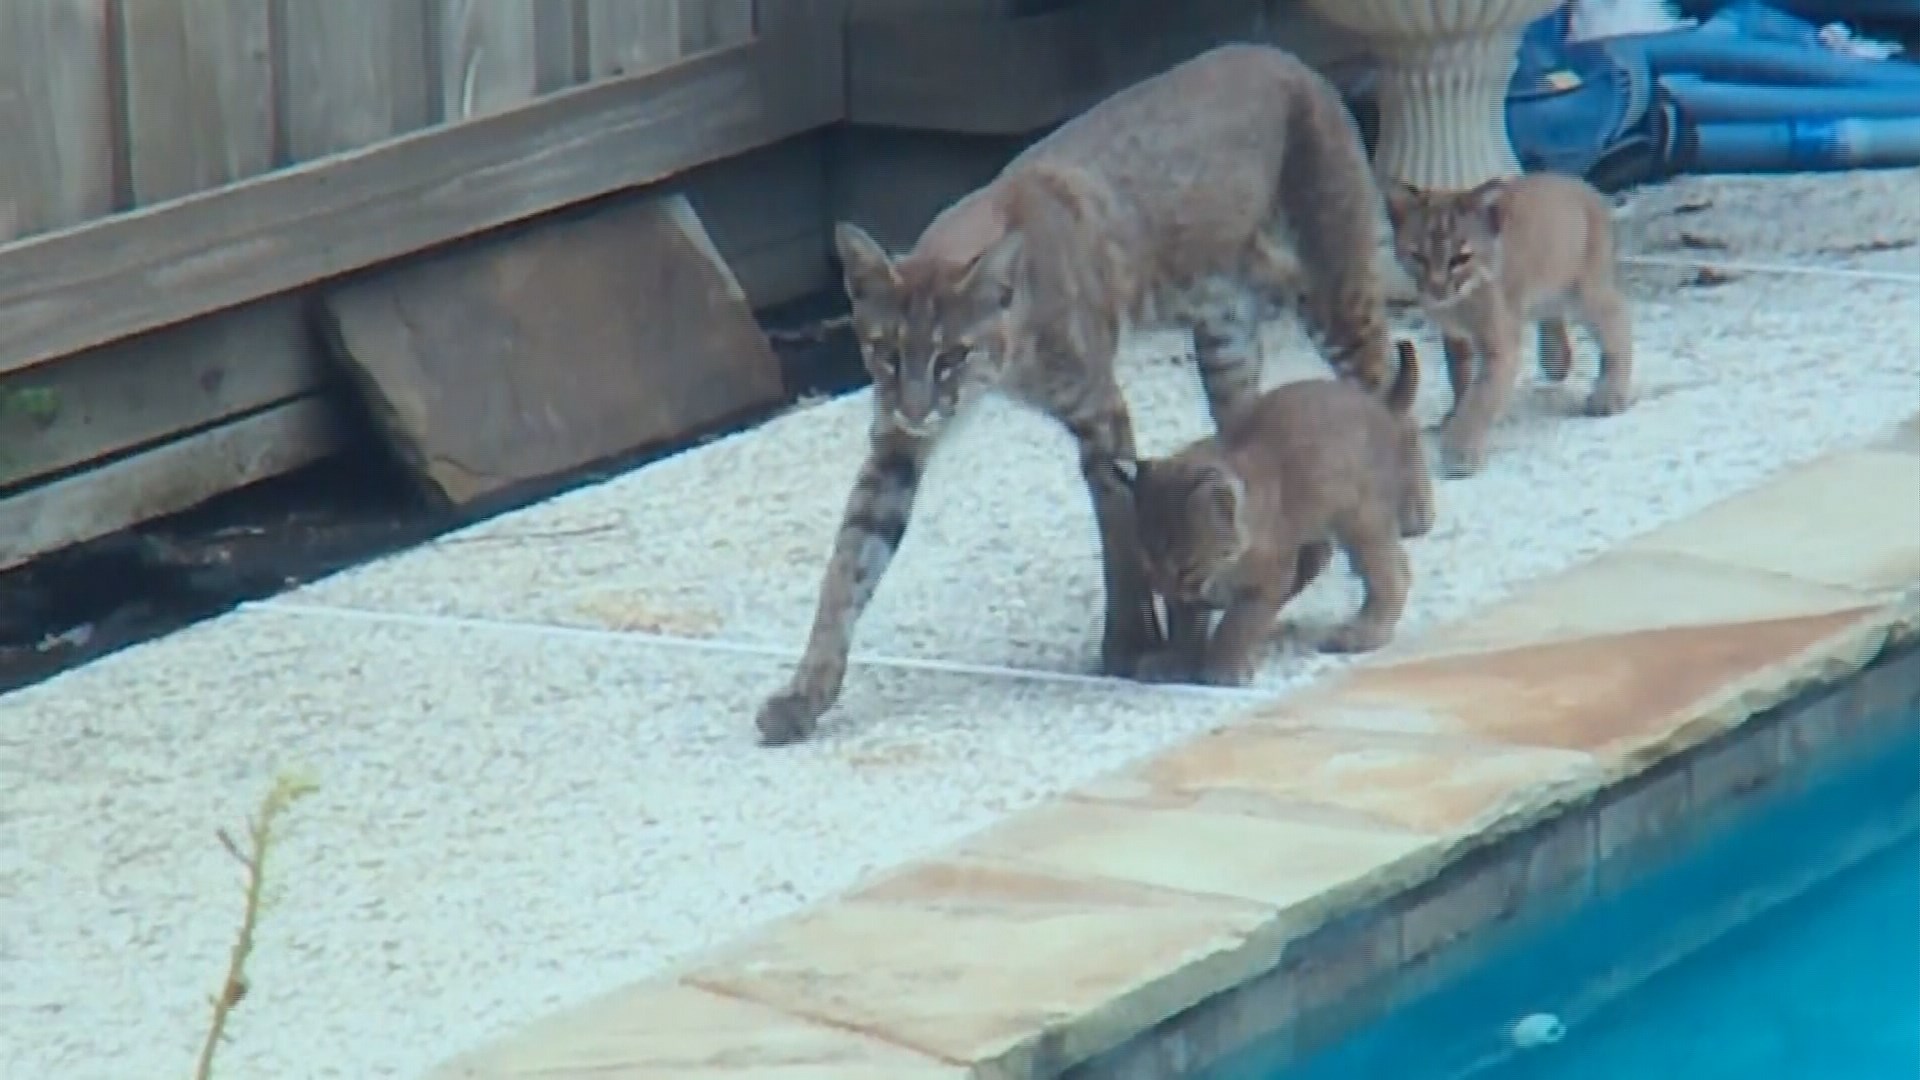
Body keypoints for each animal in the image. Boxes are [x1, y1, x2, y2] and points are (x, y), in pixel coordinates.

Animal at [748, 44, 1397, 749]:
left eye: (953, 357)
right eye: (884, 352)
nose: (917, 408)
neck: (1005, 361)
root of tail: (1285, 56)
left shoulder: (1100, 413)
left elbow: (1119, 533)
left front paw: (1132, 644)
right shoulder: (895, 445)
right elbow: (849, 564)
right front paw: (806, 692)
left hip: (1334, 286)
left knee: (1383, 385)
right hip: (1225, 336)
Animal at [1121, 340, 1428, 684]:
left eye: (1186, 568)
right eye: (1150, 567)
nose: (1164, 591)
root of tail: (1379, 405)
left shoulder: (1266, 578)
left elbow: (1239, 622)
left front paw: (1225, 667)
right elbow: (1186, 626)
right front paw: (1176, 659)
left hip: (1362, 519)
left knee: (1392, 571)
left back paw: (1364, 633)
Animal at [1382, 171, 1635, 474]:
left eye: (1460, 258)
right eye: (1418, 256)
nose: (1437, 289)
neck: (1460, 303)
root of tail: (1579, 182)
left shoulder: (1499, 345)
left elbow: (1481, 396)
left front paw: (1460, 451)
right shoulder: (1455, 335)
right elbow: (1459, 376)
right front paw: (1454, 412)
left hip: (1586, 292)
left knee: (1618, 320)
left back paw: (1609, 395)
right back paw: (1556, 359)